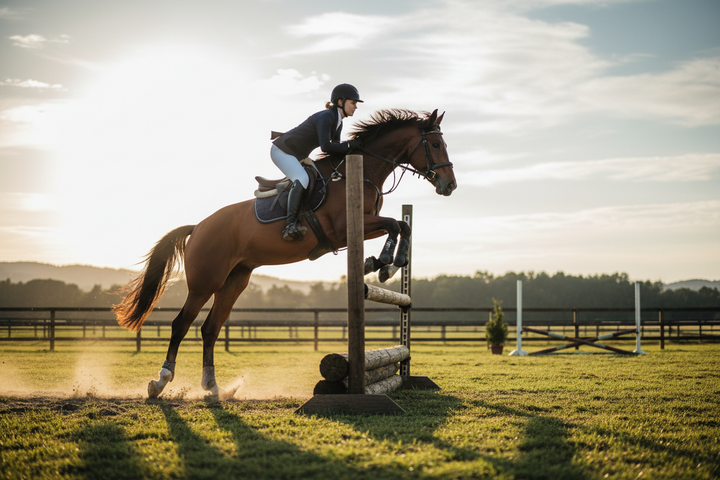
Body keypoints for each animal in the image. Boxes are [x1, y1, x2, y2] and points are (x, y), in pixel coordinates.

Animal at [113, 108, 457, 400]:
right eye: (436, 144)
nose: (450, 185)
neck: (359, 173)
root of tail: (198, 227)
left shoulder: (363, 226)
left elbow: (401, 225)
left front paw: (387, 265)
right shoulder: (344, 227)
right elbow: (395, 224)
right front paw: (384, 262)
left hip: (234, 281)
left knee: (210, 329)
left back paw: (213, 387)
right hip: (205, 282)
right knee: (181, 325)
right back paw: (160, 382)